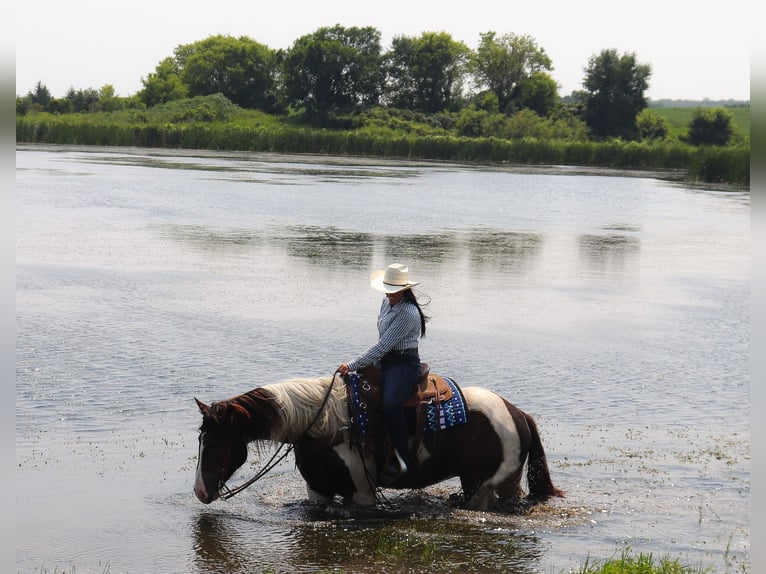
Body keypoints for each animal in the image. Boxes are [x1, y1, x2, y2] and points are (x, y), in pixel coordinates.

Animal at [192, 374, 564, 512]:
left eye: (216, 443)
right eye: (201, 439)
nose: (199, 491)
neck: (322, 424)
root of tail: (519, 414)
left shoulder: (362, 494)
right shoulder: (318, 491)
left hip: (484, 487)